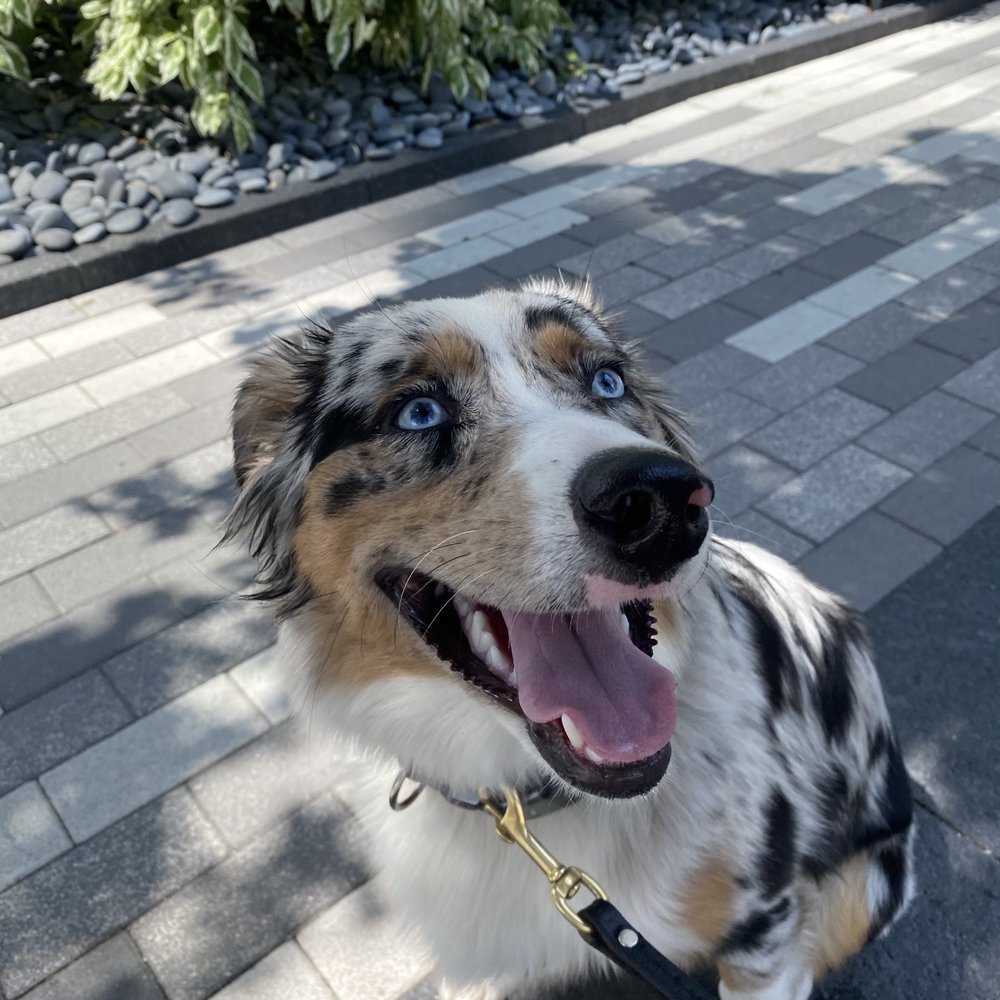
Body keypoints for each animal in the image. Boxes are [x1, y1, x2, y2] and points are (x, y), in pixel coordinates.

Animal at [226, 279, 914, 1000]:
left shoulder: (766, 938)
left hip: (864, 888)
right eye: (418, 411)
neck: (533, 803)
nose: (657, 500)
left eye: (608, 380)